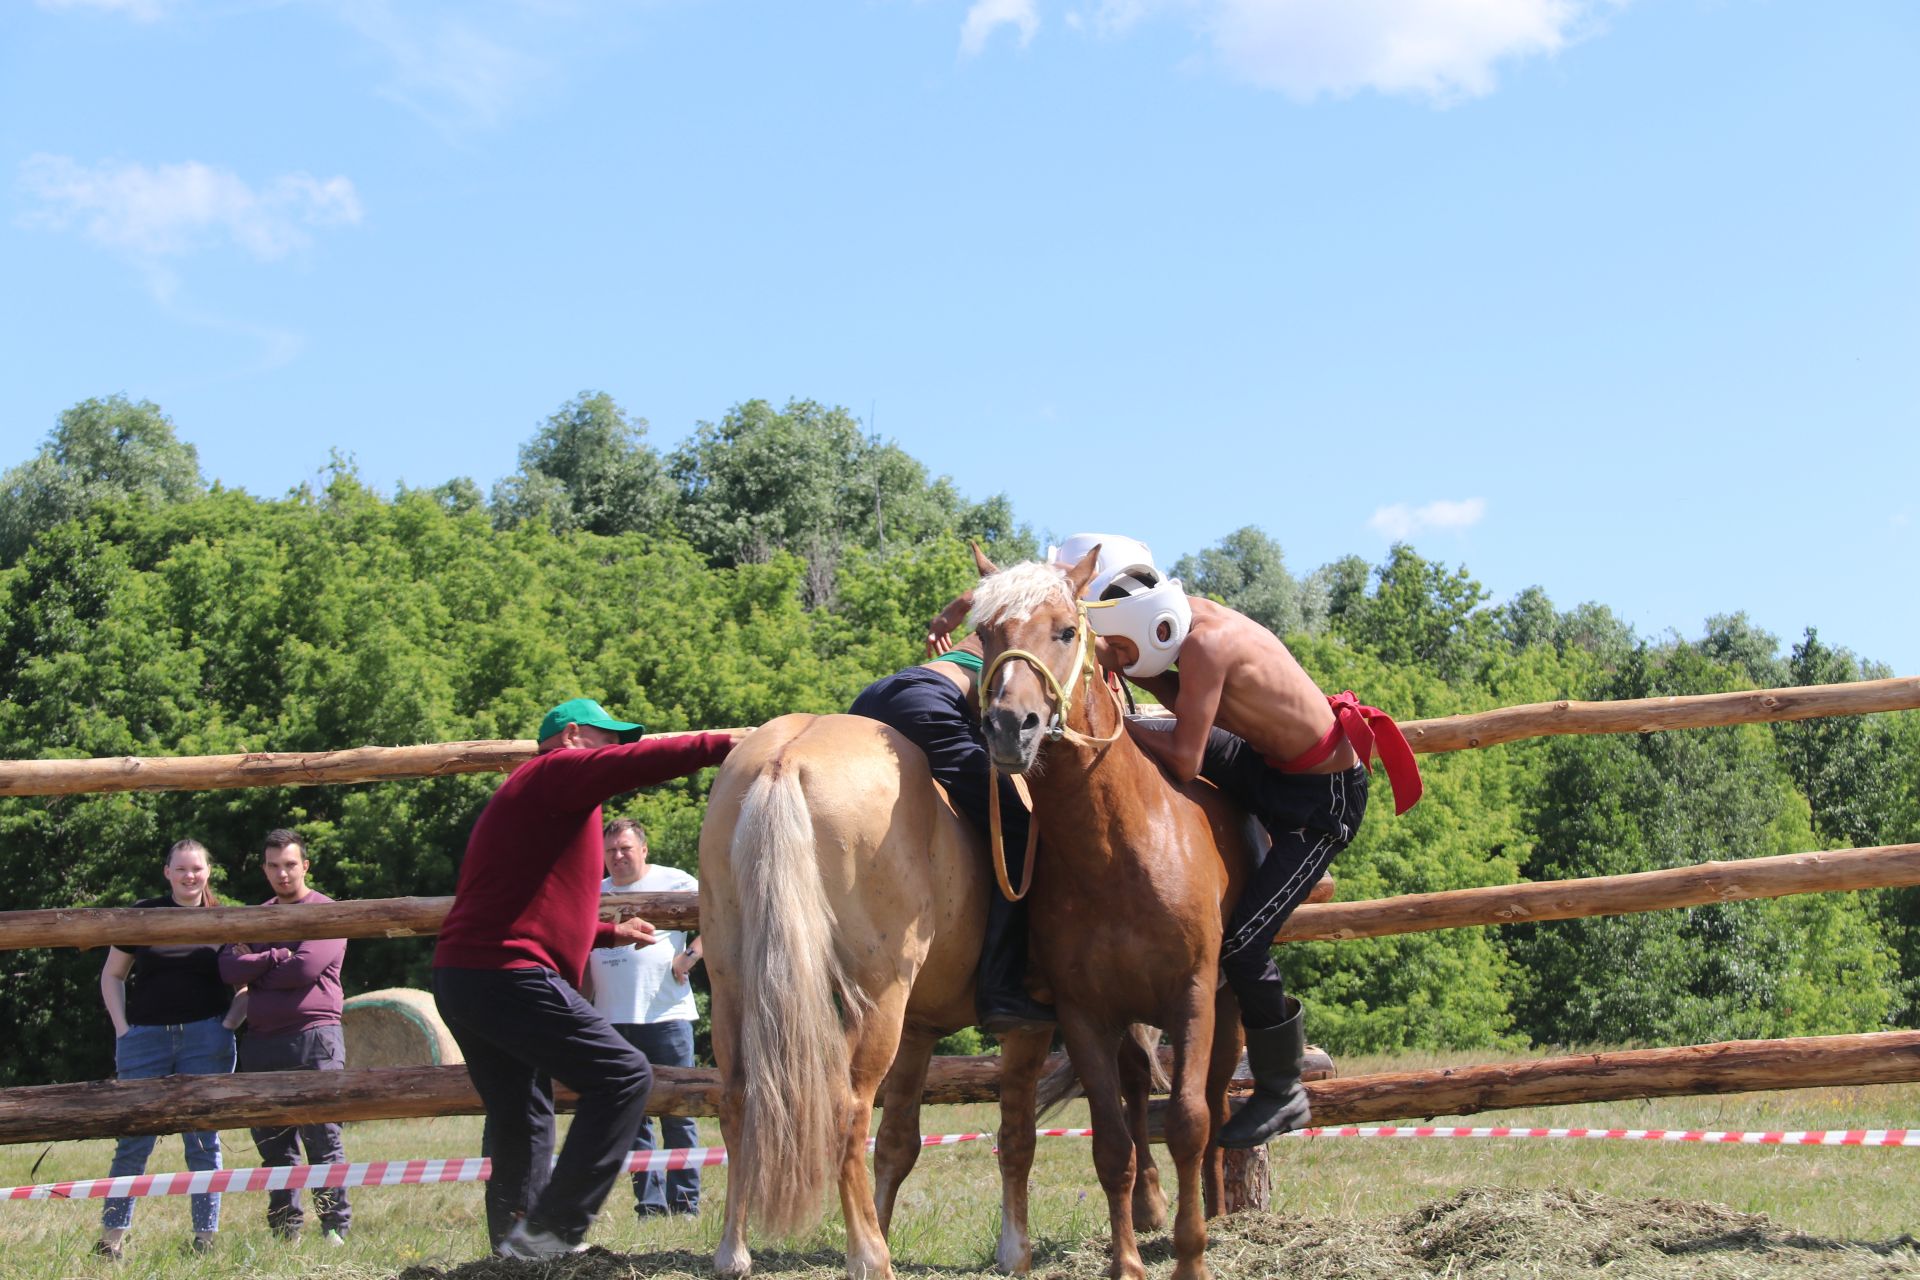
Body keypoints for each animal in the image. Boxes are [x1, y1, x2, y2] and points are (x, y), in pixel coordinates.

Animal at [702, 717, 1067, 1274]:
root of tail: (785, 759)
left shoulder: (918, 1030)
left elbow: (897, 1143)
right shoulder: (1031, 1030)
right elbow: (1019, 1137)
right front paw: (1015, 1251)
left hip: (733, 988)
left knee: (739, 1100)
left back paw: (734, 1253)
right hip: (879, 1000)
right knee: (847, 1109)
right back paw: (871, 1257)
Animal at [967, 548, 1251, 1280]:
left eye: (1066, 630)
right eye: (984, 632)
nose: (1009, 727)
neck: (1118, 852)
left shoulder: (1193, 997)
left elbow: (1187, 1121)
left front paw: (1191, 1255)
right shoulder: (1085, 1016)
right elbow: (1113, 1144)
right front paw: (1127, 1262)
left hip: (1228, 1004)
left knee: (1214, 1102)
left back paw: (1217, 1208)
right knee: (1134, 1094)